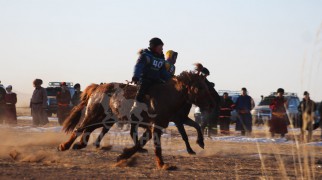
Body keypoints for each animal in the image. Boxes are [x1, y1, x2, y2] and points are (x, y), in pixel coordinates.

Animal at [58, 70, 214, 170]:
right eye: (200, 87)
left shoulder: (157, 126)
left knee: (88, 130)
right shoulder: (161, 125)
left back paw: (80, 145)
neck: (166, 96)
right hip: (93, 114)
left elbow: (141, 142)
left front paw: (123, 156)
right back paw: (65, 146)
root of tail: (98, 88)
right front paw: (163, 164)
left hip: (105, 120)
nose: (211, 104)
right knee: (79, 128)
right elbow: (160, 144)